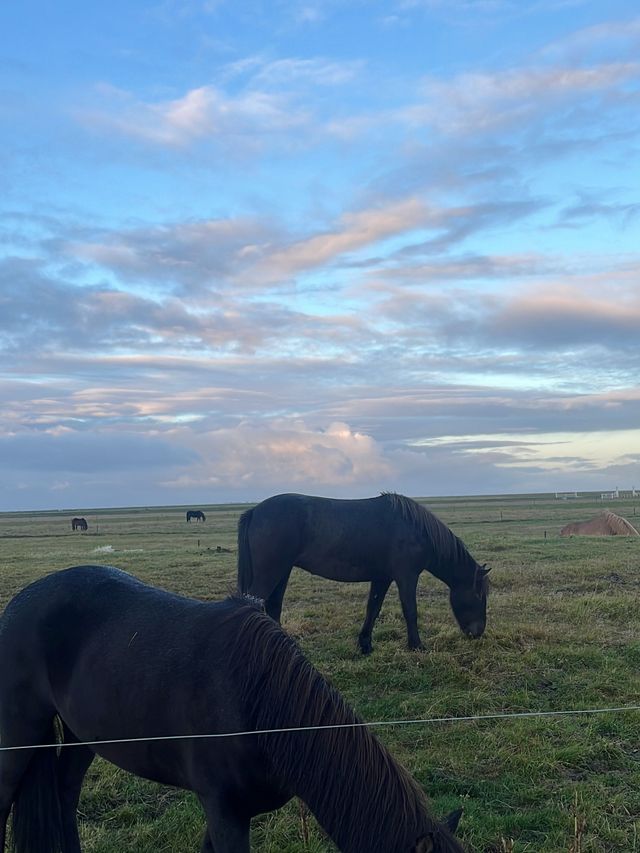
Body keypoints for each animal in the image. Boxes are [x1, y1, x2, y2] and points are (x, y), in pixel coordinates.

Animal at [1, 564, 470, 852]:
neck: (257, 707)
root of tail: (19, 602)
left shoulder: (224, 813)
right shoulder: (225, 812)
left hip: (84, 734)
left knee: (64, 792)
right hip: (20, 732)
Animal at [238, 492, 492, 652]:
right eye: (479, 595)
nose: (478, 632)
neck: (415, 529)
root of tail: (255, 511)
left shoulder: (382, 578)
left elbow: (373, 609)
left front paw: (365, 645)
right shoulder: (406, 577)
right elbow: (410, 610)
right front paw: (417, 646)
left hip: (282, 572)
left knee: (273, 607)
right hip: (270, 572)